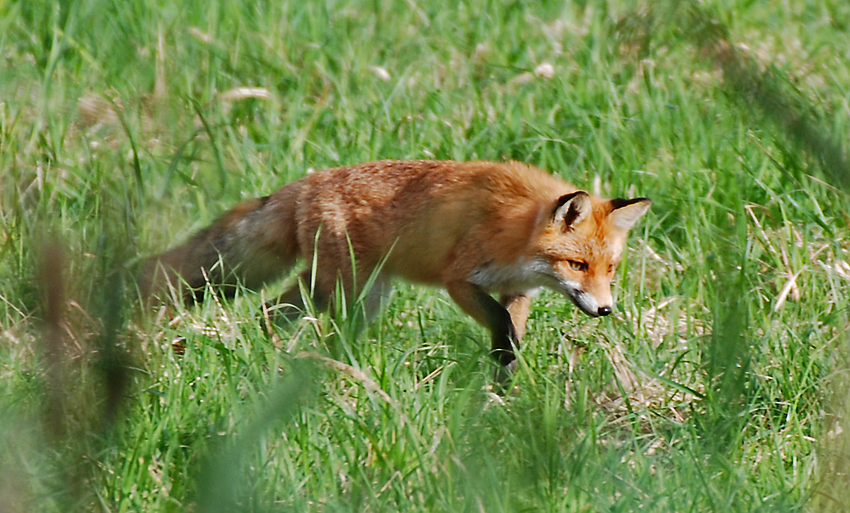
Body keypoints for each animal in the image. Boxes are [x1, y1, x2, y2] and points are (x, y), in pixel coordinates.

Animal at [144, 160, 648, 376]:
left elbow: (511, 331)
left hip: (346, 292)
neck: (515, 229)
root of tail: (302, 184)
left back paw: (280, 355)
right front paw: (503, 368)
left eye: (610, 269)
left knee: (268, 310)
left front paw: (503, 380)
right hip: (347, 291)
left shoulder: (518, 289)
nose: (606, 310)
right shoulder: (459, 280)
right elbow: (500, 323)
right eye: (577, 264)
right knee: (299, 320)